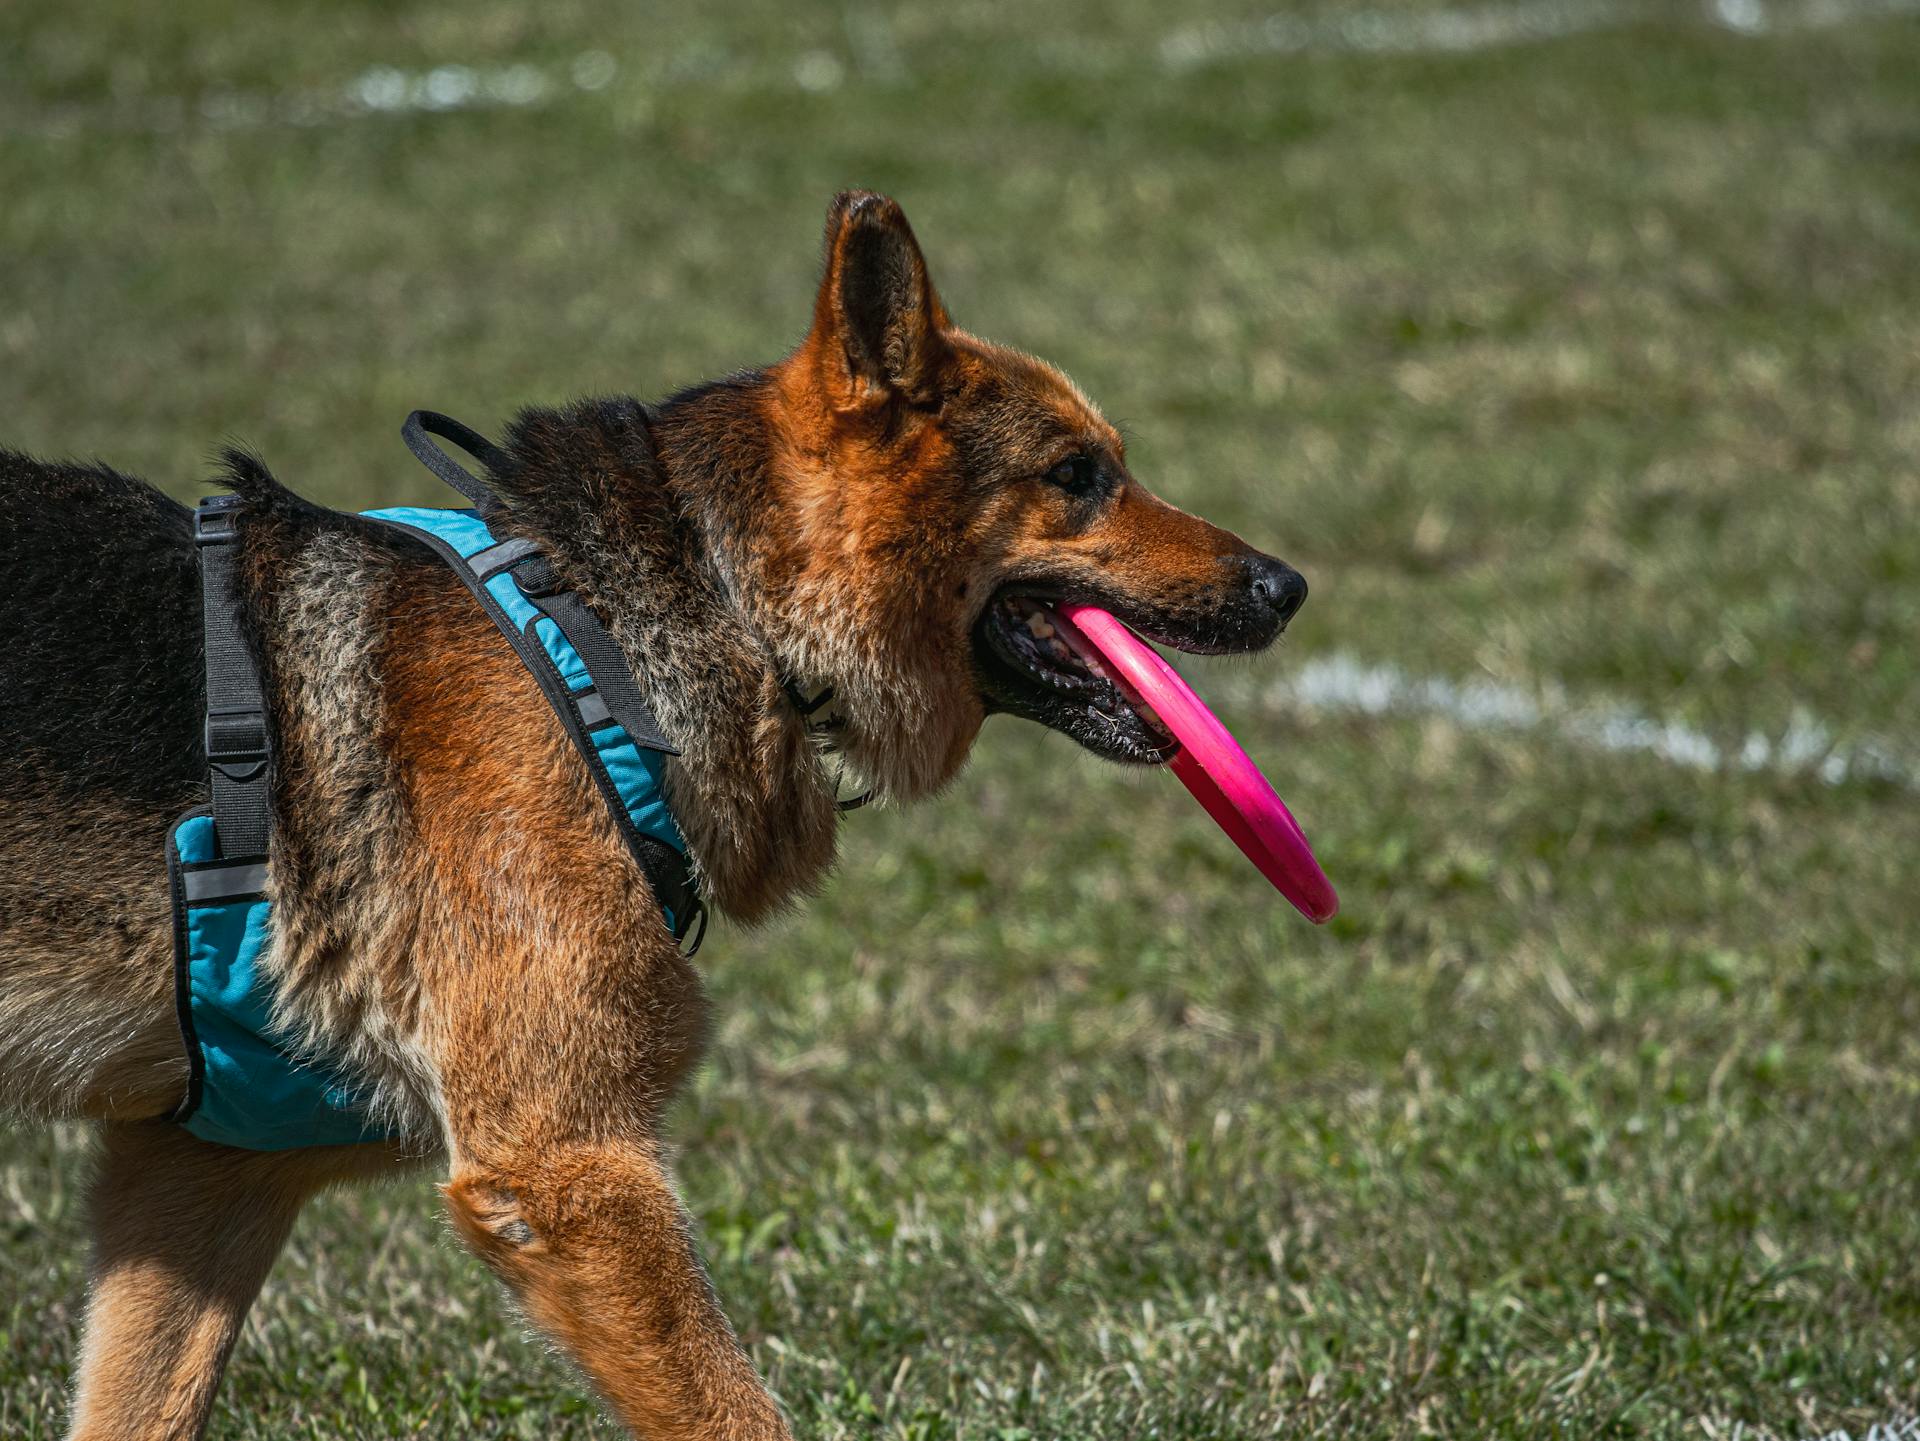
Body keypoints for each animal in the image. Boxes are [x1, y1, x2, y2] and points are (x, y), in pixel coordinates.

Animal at [0, 194, 1305, 1441]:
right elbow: (734, 1412)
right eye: (1079, 475)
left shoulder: (200, 1180)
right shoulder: (568, 1172)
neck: (616, 629)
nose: (1289, 584)